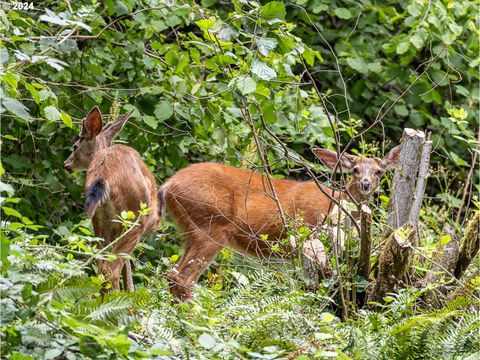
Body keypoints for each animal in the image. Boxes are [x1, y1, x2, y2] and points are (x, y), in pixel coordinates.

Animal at [62, 105, 158, 292]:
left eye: (75, 146)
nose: (66, 164)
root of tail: (103, 175)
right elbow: (127, 272)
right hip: (133, 220)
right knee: (111, 269)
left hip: (99, 219)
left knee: (101, 266)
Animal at [159, 145, 400, 300]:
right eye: (355, 170)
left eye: (379, 171)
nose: (366, 184)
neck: (335, 204)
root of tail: (168, 186)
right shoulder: (307, 234)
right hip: (209, 227)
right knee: (181, 278)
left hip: (190, 231)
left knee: (172, 274)